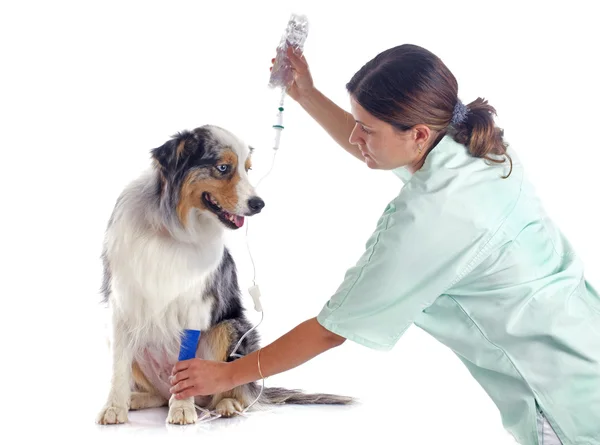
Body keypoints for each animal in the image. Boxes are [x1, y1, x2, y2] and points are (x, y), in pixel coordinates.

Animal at [96, 125, 354, 424]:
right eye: (223, 168)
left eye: (248, 169)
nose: (259, 204)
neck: (171, 227)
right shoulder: (123, 303)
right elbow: (118, 368)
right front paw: (114, 407)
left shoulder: (196, 304)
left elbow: (186, 364)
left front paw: (181, 409)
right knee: (159, 394)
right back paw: (135, 399)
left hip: (229, 328)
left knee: (231, 389)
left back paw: (226, 405)